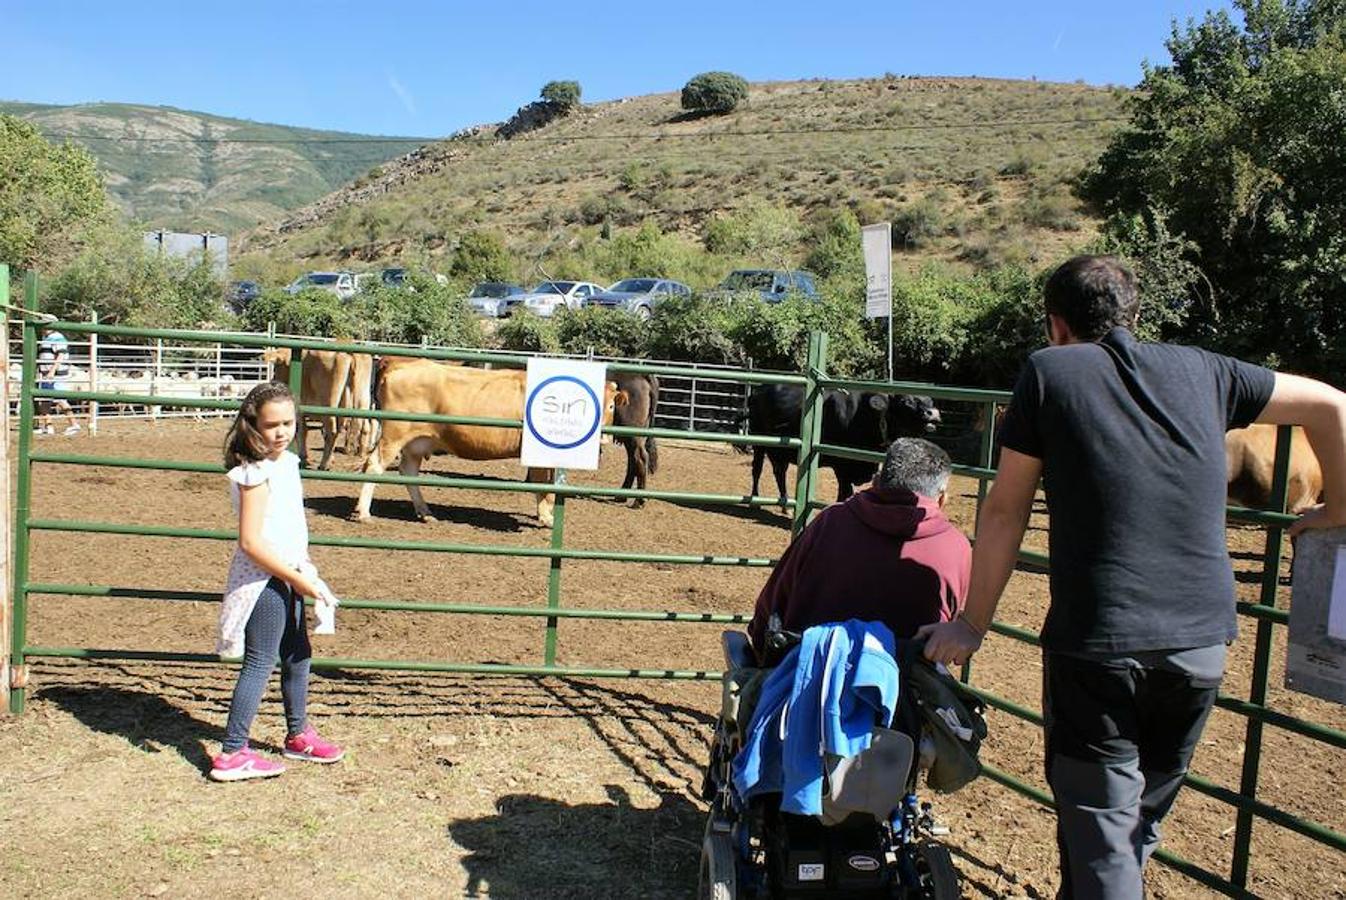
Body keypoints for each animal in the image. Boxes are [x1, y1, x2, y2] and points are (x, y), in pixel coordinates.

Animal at [355, 357, 627, 527]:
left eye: (611, 405)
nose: (603, 438)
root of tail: (400, 362)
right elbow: (542, 485)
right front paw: (547, 517)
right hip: (394, 434)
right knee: (374, 465)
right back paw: (364, 512)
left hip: (417, 442)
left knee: (408, 472)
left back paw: (425, 513)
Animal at [742, 384, 942, 503]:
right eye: (906, 401)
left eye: (930, 400)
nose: (933, 413)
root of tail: (759, 390)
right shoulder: (842, 466)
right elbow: (844, 493)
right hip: (758, 442)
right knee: (757, 469)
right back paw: (755, 499)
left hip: (779, 450)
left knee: (779, 472)